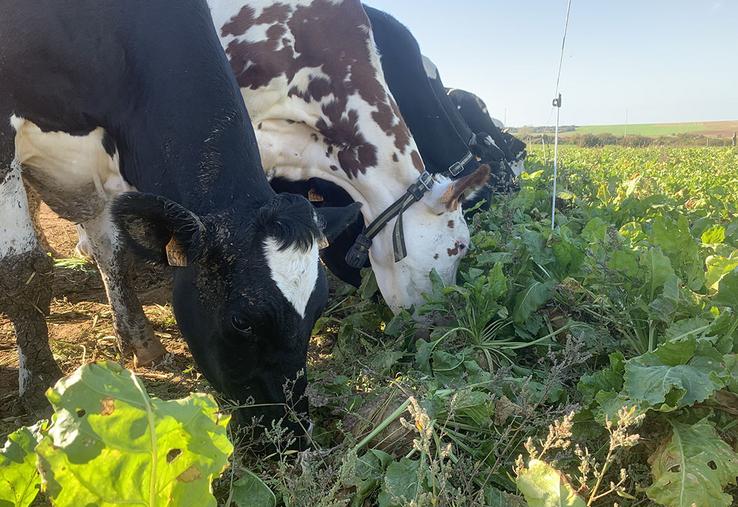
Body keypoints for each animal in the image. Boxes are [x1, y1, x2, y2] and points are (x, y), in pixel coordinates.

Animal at [0, 0, 359, 441]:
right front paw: (40, 383)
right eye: (241, 321)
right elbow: (21, 270)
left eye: (318, 310)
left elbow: (113, 253)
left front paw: (141, 343)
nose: (291, 432)